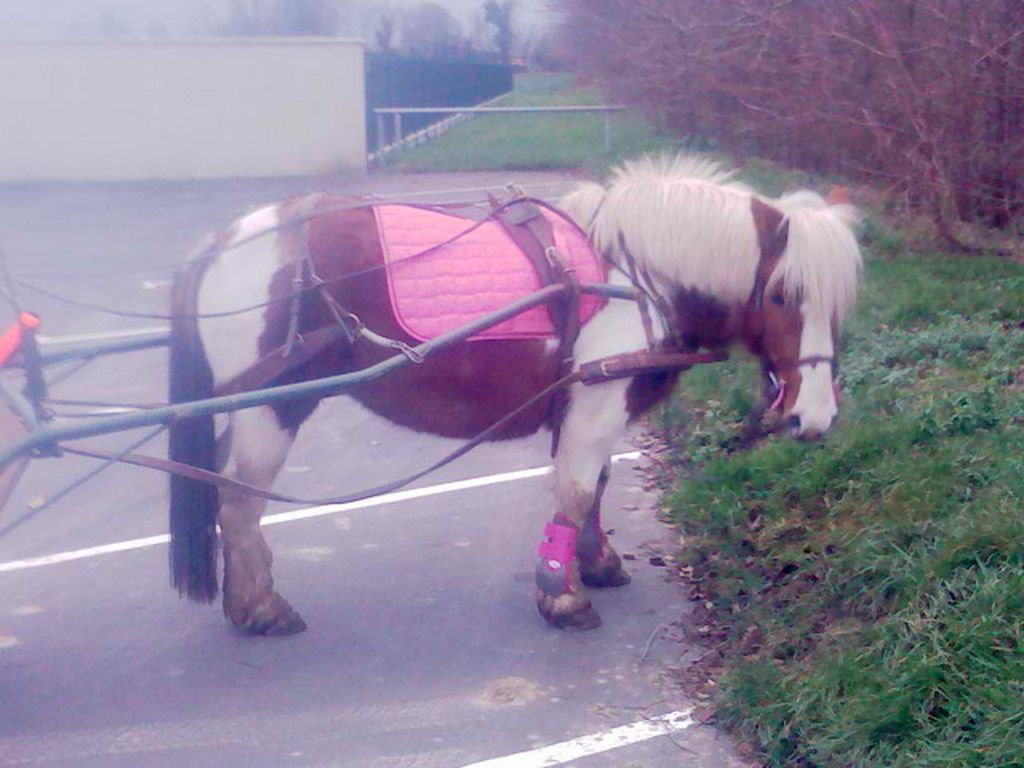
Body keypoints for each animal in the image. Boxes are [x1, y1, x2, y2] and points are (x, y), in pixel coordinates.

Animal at [167, 155, 863, 636]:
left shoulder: (590, 406)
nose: (815, 416)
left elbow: (596, 487)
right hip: (272, 406)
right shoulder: (594, 406)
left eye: (842, 302)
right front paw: (563, 594)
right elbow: (576, 492)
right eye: (782, 296)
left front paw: (596, 564)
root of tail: (226, 241)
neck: (633, 276)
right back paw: (260, 606)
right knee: (238, 500)